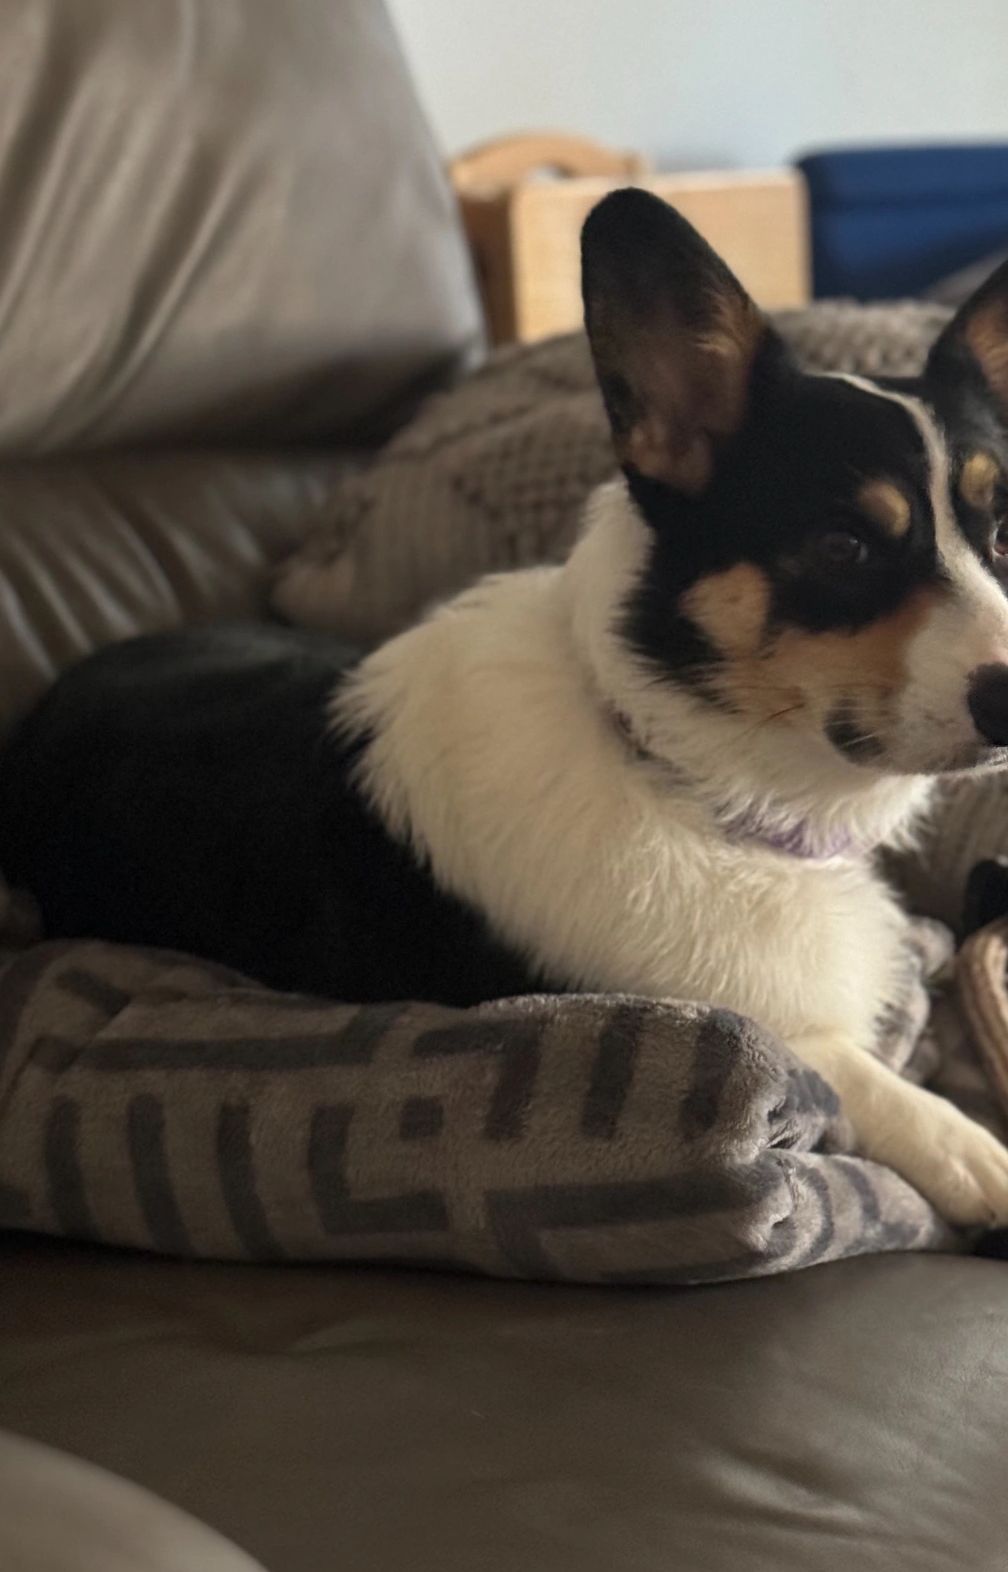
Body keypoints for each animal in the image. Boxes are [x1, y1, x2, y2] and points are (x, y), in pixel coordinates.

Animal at [3, 193, 1006, 1226]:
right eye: (845, 547)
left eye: (1003, 531)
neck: (697, 778)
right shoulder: (737, 1021)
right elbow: (858, 1075)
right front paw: (980, 1158)